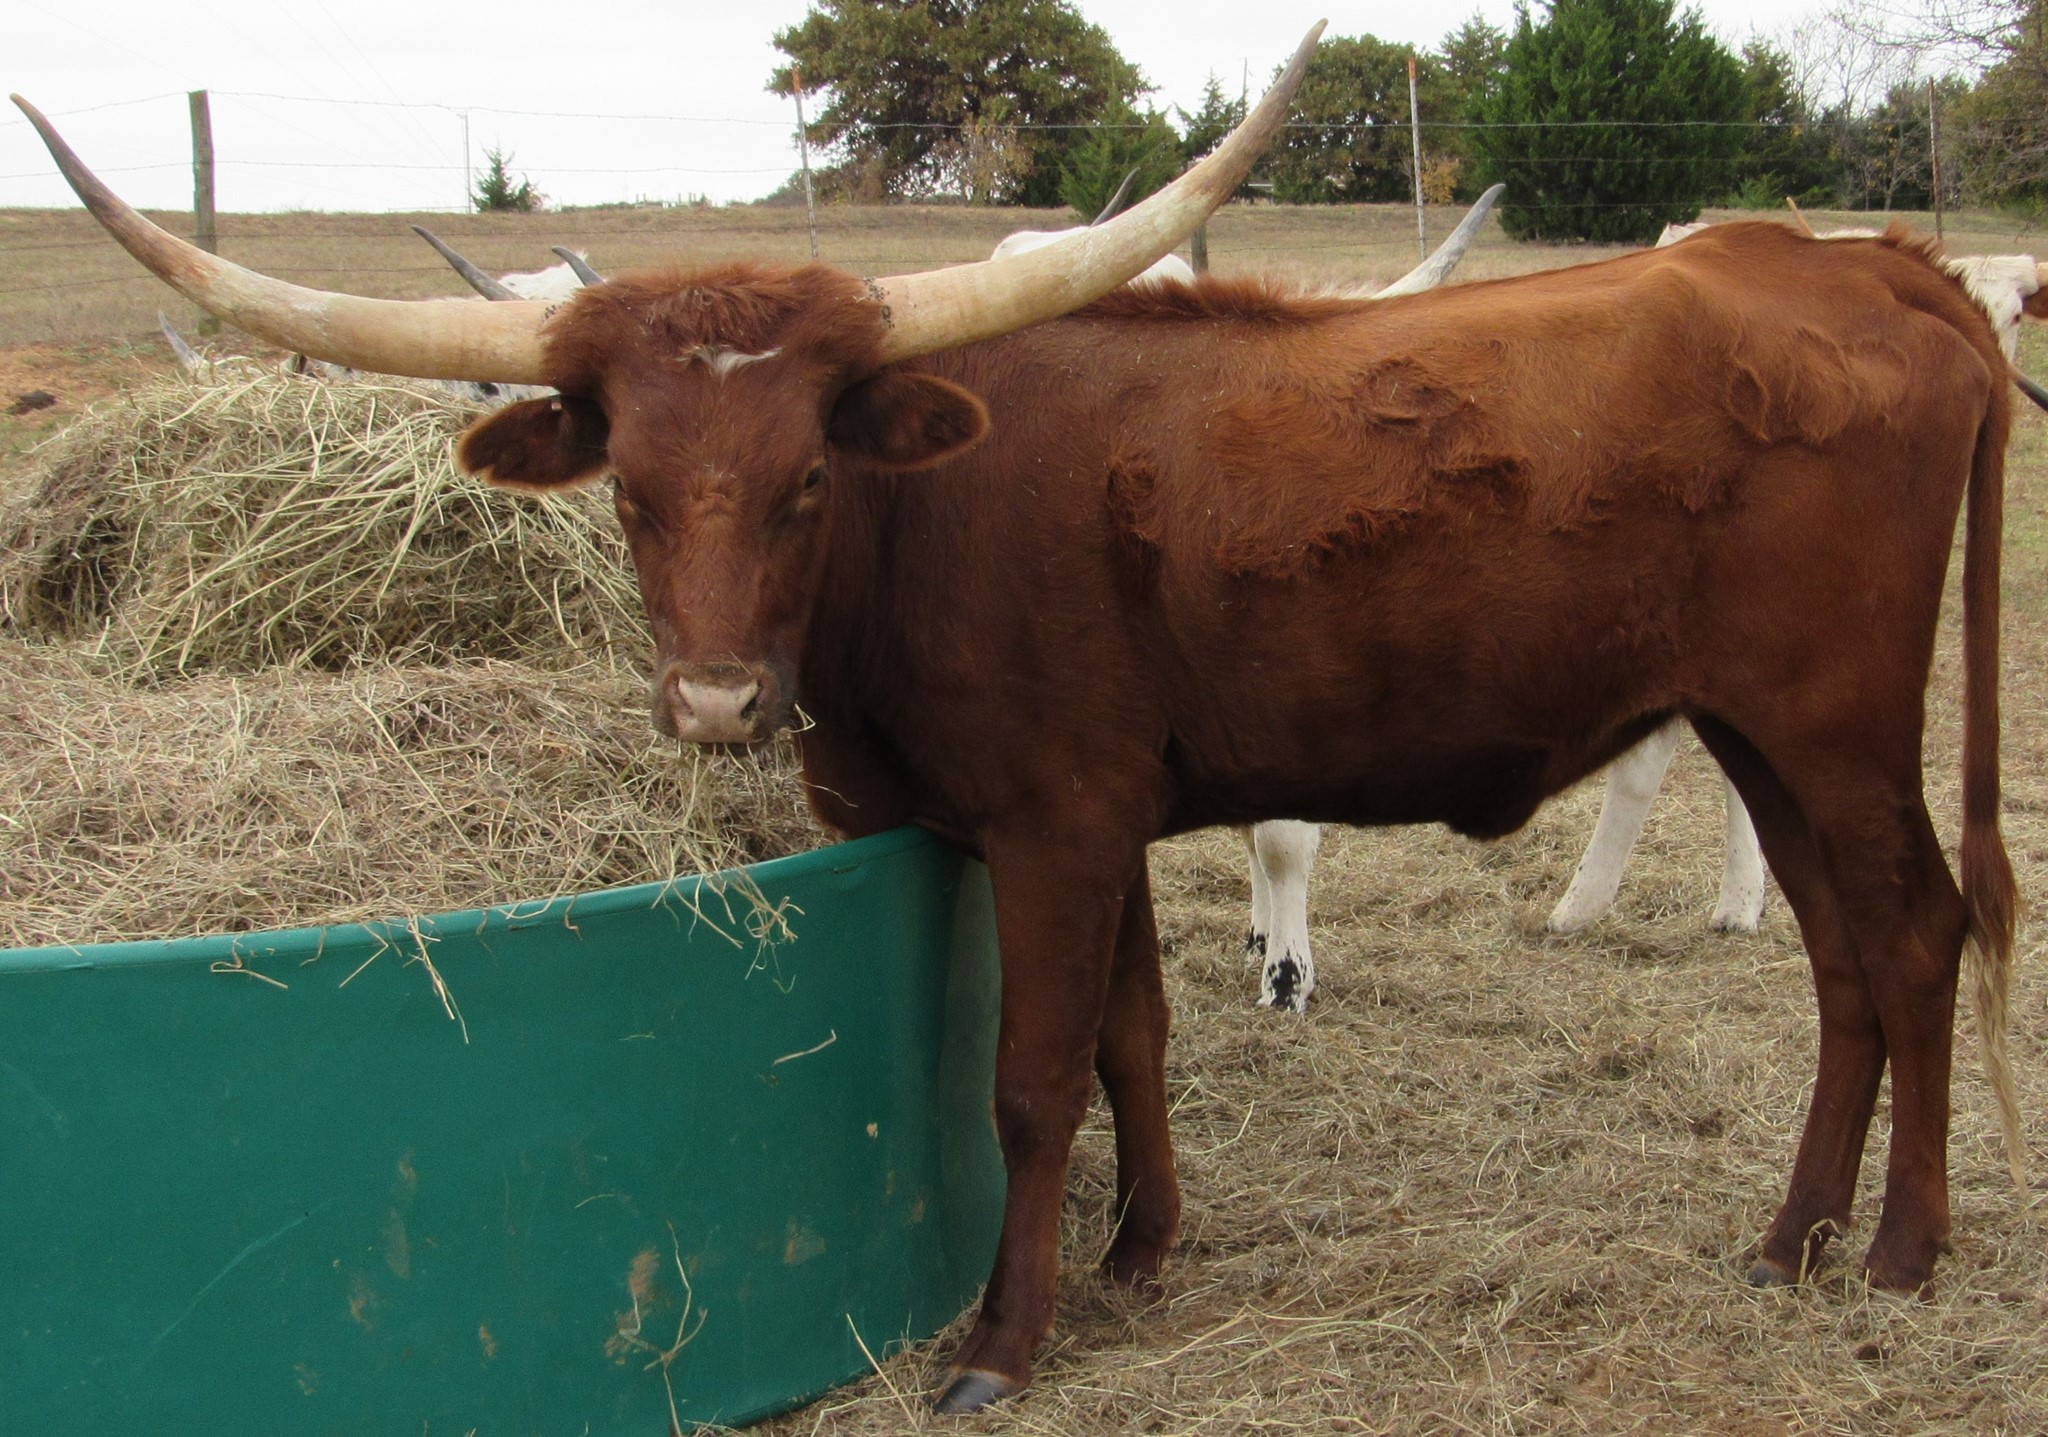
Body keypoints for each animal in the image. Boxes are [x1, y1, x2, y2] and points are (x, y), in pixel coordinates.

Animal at [22, 30, 2027, 1416]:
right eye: (633, 495)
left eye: (808, 477)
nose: (715, 699)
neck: (933, 521)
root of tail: (1866, 265)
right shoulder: (1096, 807)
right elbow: (1137, 1035)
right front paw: (1142, 1252)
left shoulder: (1054, 820)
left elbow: (1033, 1074)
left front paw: (1004, 1334)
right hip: (1763, 731)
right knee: (1842, 962)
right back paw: (1789, 1238)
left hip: (1839, 722)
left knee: (1914, 936)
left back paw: (1902, 1251)